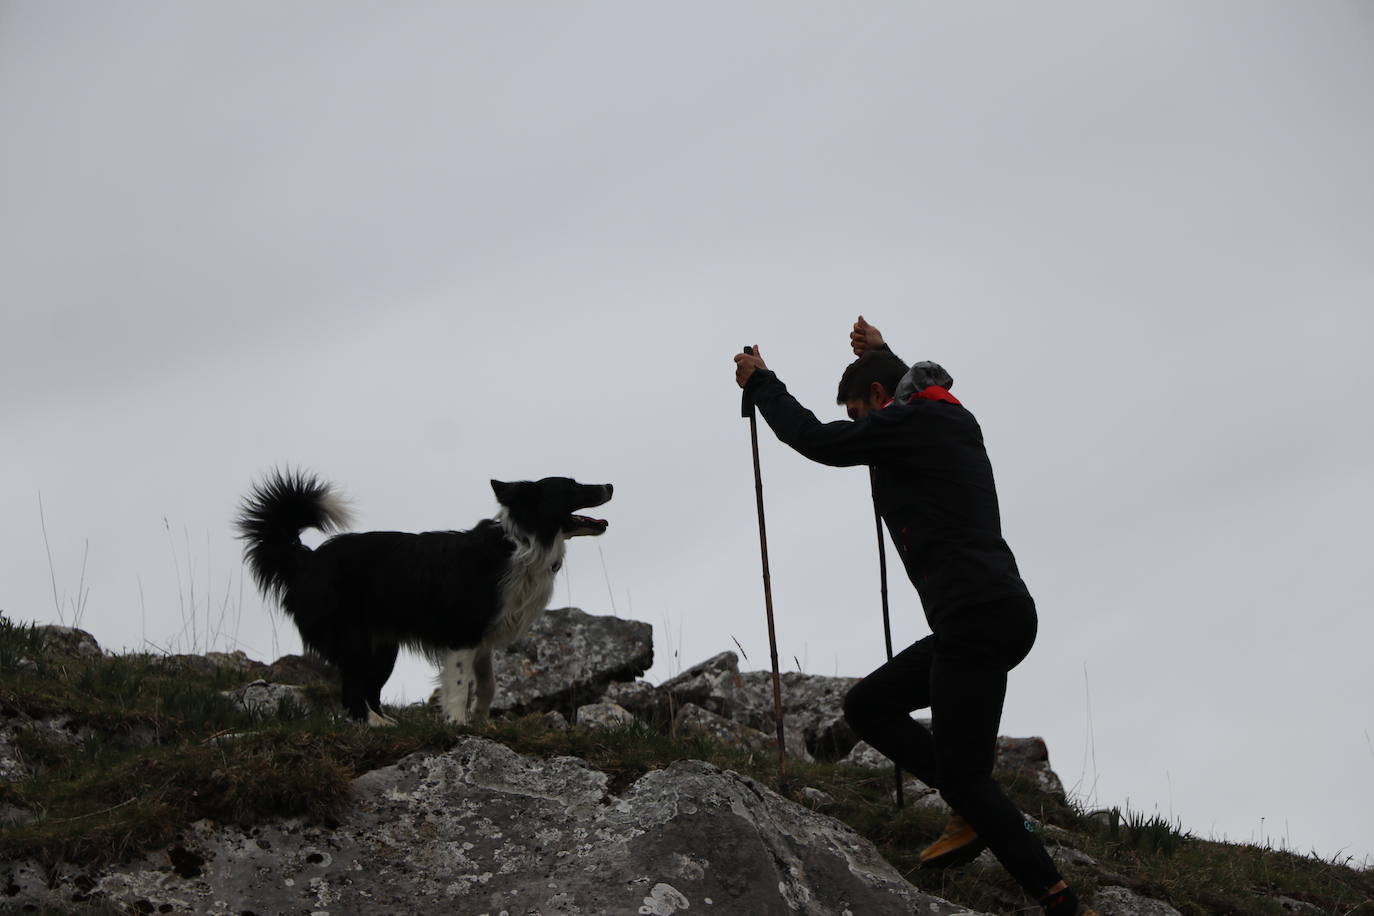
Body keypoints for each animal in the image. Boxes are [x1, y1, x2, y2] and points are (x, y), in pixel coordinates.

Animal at [236, 469, 612, 725]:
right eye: (571, 485)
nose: (610, 485)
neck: (523, 544)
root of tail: (307, 560)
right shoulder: (462, 635)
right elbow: (459, 685)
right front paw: (458, 725)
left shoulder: (483, 640)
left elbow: (488, 685)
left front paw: (481, 721)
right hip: (354, 640)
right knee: (352, 690)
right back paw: (374, 725)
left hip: (382, 648)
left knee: (369, 689)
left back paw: (387, 722)